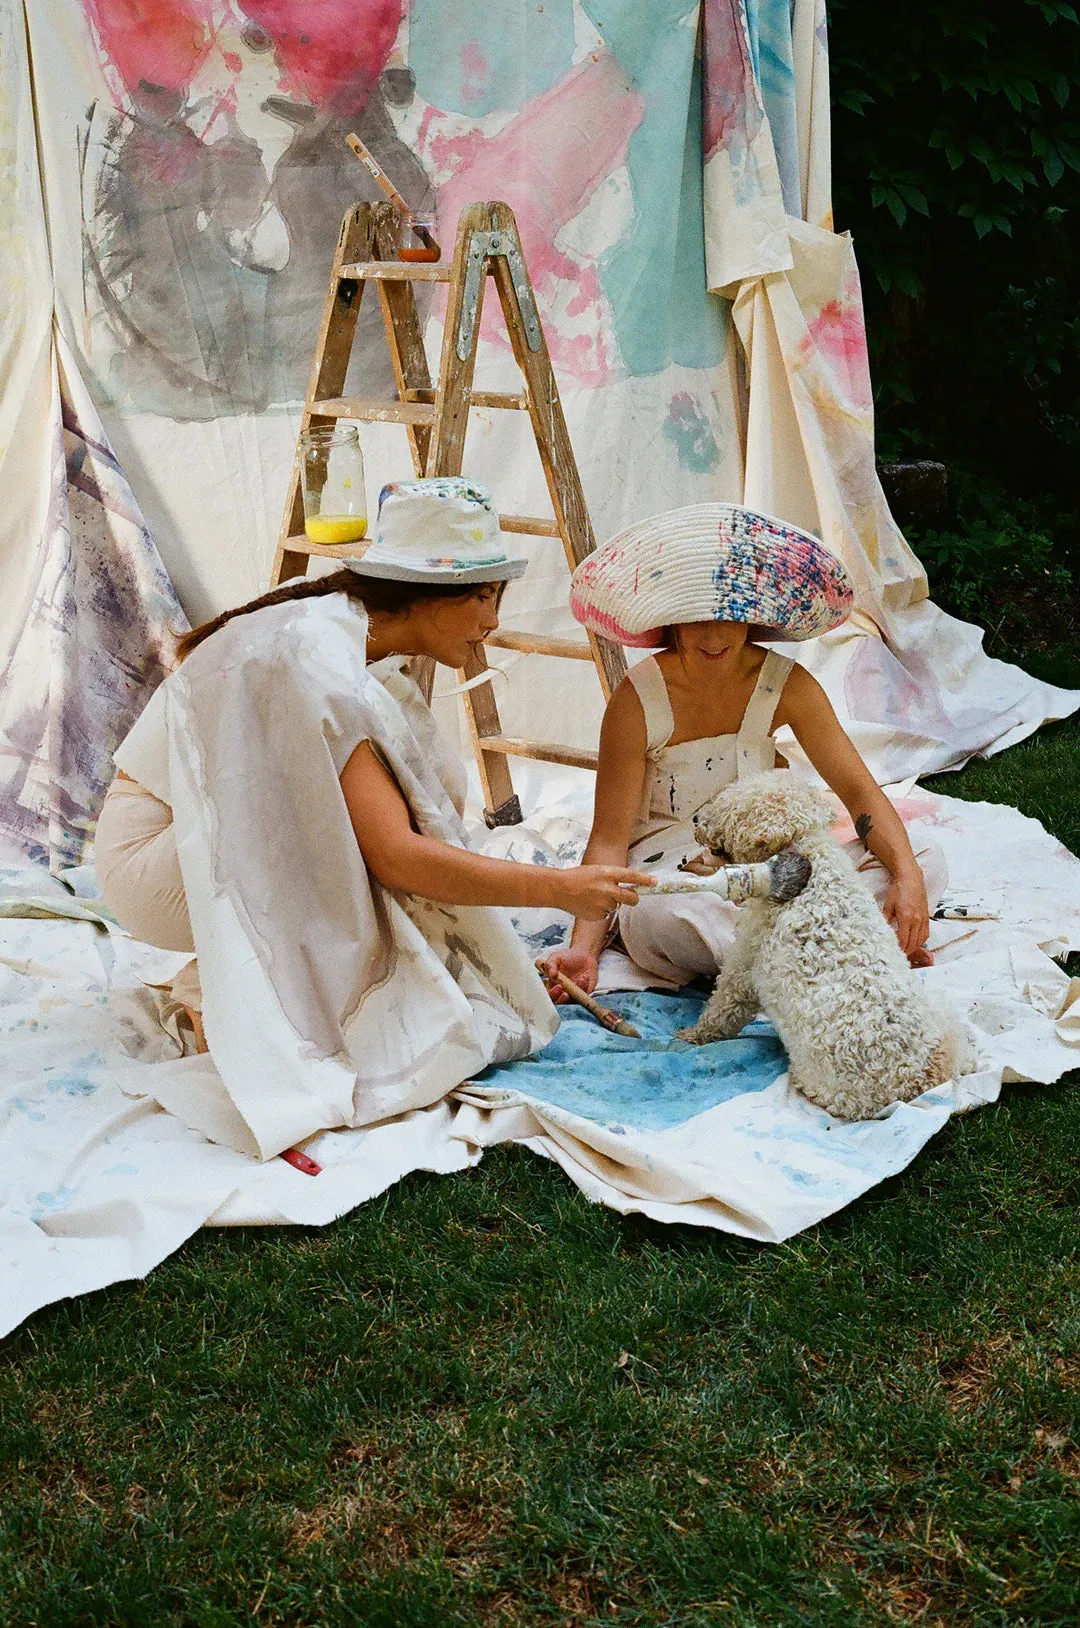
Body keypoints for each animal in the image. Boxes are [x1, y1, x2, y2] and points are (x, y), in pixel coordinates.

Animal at [680, 774, 977, 1120]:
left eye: (727, 809)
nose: (696, 820)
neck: (805, 859)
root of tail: (919, 1080)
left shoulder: (745, 962)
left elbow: (724, 1007)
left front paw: (693, 1035)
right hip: (945, 1018)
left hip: (819, 1081)